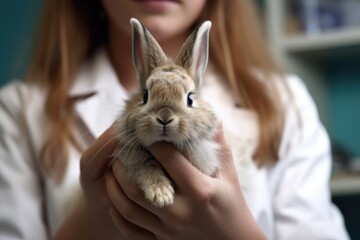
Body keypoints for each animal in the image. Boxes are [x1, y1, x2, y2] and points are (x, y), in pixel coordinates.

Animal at [113, 17, 256, 208]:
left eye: (189, 99)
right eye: (145, 96)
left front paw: (161, 197)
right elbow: (146, 167)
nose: (164, 118)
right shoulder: (128, 156)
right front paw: (161, 195)